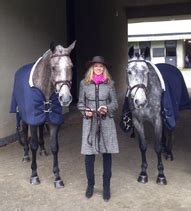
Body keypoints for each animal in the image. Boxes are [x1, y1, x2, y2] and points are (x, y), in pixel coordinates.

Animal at [10, 41, 75, 188]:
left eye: (71, 66)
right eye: (53, 67)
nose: (65, 98)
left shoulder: (53, 121)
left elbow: (55, 147)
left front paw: (57, 178)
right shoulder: (33, 120)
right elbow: (33, 145)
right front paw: (34, 175)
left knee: (41, 129)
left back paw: (43, 150)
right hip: (24, 118)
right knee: (24, 133)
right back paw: (26, 155)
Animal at [126, 46, 190, 185]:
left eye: (146, 72)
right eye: (129, 72)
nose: (140, 102)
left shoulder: (157, 120)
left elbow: (157, 147)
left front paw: (161, 175)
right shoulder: (137, 121)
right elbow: (143, 146)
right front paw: (143, 173)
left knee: (170, 131)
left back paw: (169, 152)